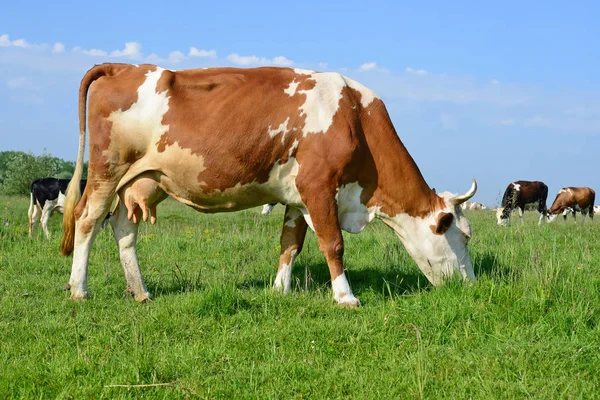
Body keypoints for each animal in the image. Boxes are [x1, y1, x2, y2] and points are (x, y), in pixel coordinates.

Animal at [59, 63, 478, 306]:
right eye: (464, 236)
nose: (470, 284)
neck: (354, 115)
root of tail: (126, 66)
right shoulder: (319, 186)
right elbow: (333, 244)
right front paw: (346, 297)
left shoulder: (297, 196)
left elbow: (290, 242)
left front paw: (279, 289)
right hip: (107, 171)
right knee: (87, 220)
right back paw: (80, 290)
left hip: (142, 181)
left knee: (122, 228)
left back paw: (141, 291)